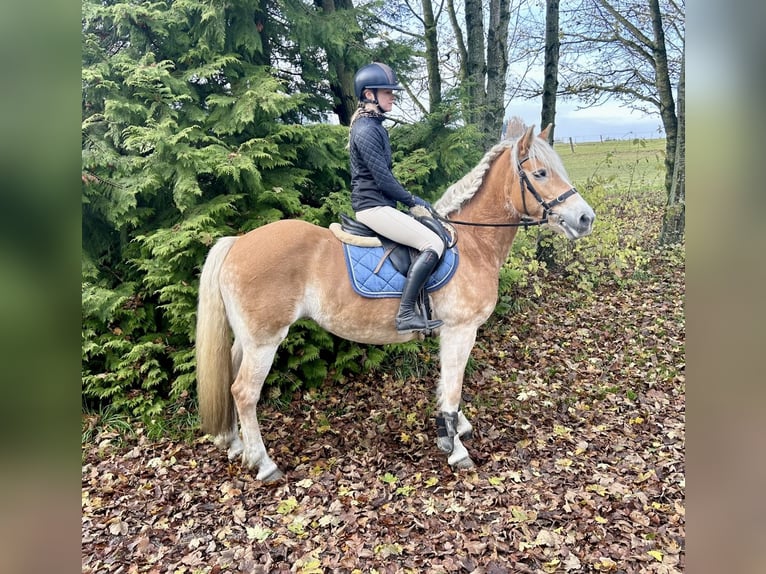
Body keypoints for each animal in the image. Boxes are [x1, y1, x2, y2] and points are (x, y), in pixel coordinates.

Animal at [195, 125, 596, 482]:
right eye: (541, 173)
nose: (585, 218)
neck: (472, 243)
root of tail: (237, 241)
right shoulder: (461, 329)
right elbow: (454, 384)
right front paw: (456, 448)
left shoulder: (449, 332)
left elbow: (447, 382)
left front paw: (454, 429)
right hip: (265, 340)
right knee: (244, 392)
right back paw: (264, 463)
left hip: (247, 339)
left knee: (230, 378)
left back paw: (236, 446)